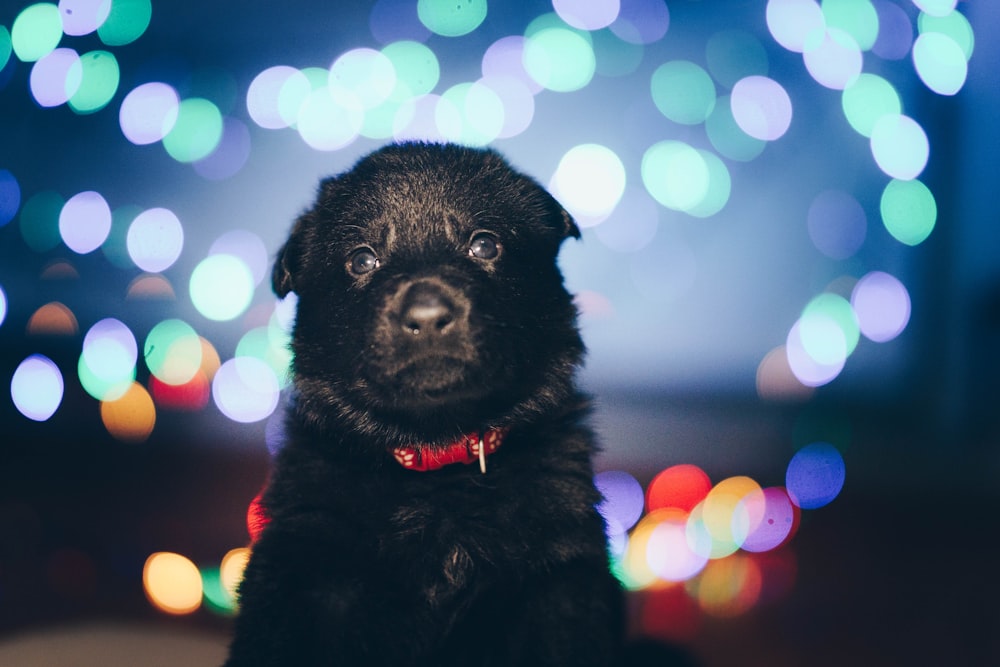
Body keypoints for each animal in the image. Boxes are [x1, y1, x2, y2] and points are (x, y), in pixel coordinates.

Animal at [225, 144, 624, 664]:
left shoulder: (562, 582)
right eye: (362, 259)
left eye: (484, 246)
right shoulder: (305, 571)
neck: (437, 458)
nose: (429, 315)